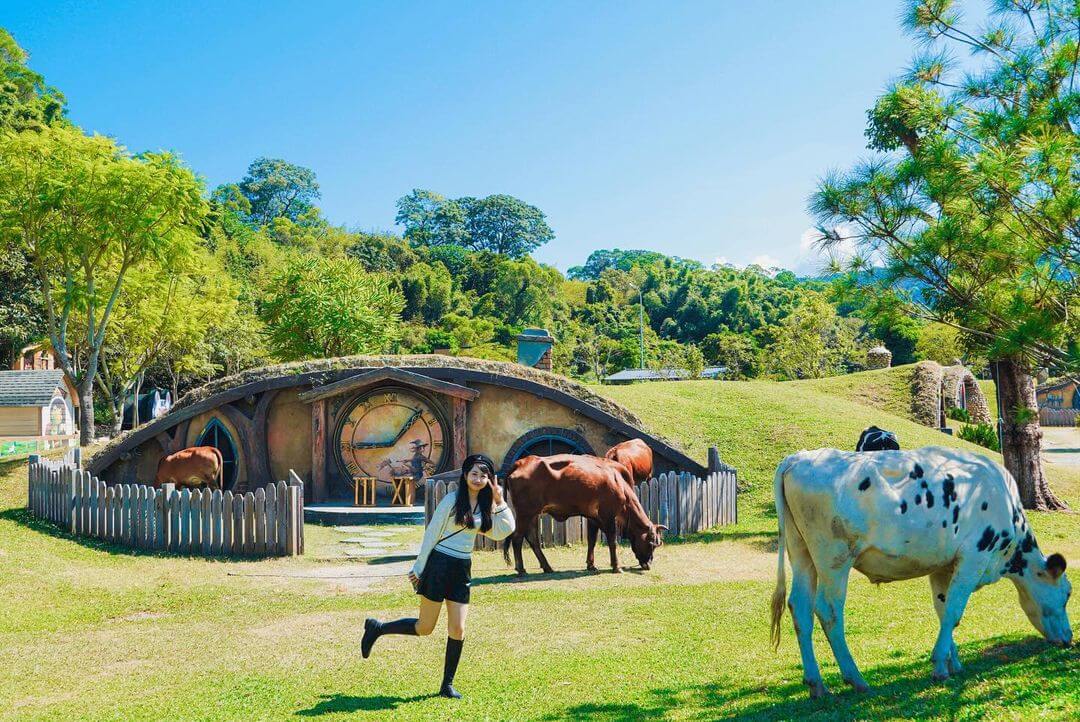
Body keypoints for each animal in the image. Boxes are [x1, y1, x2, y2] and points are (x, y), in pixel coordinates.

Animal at [498, 451, 665, 574]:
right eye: (652, 544)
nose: (648, 564)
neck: (618, 480)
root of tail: (521, 462)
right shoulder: (608, 516)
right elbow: (612, 541)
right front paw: (616, 566)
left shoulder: (593, 518)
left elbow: (591, 540)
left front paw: (591, 565)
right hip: (525, 514)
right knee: (517, 539)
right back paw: (521, 569)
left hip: (533, 514)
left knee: (533, 539)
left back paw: (547, 567)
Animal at [768, 444, 1071, 699]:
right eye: (1067, 593)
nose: (1068, 638)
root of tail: (798, 458)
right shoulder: (974, 558)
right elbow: (954, 612)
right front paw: (939, 666)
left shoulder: (943, 566)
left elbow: (943, 610)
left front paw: (952, 662)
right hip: (834, 558)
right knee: (828, 611)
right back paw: (856, 678)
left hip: (802, 554)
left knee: (800, 608)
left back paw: (816, 684)